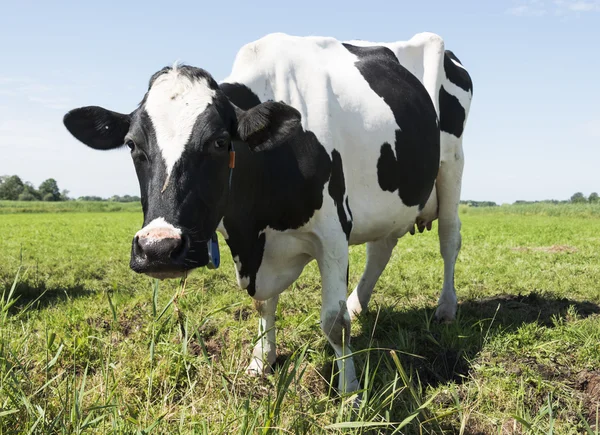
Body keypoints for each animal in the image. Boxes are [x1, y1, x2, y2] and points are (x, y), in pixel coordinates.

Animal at [63, 33, 472, 396]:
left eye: (220, 142)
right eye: (132, 145)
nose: (158, 249)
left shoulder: (333, 232)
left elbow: (333, 322)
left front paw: (350, 391)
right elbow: (262, 303)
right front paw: (262, 360)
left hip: (451, 164)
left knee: (449, 238)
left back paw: (446, 308)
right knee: (382, 248)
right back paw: (359, 304)